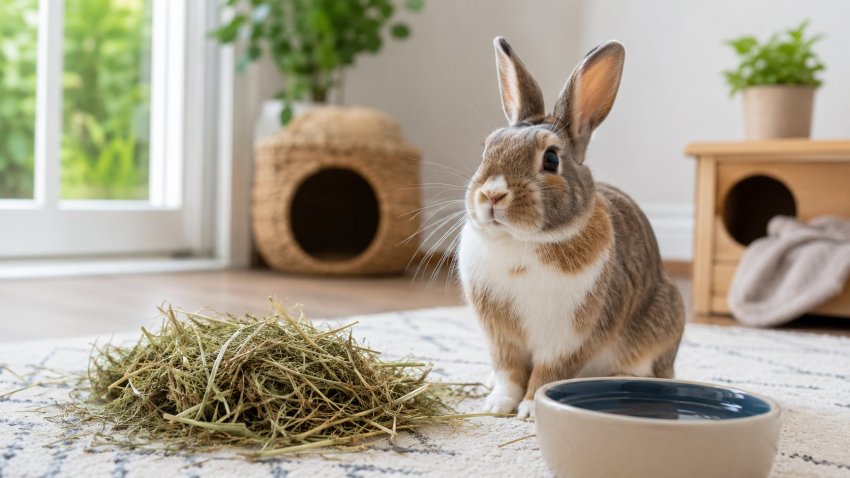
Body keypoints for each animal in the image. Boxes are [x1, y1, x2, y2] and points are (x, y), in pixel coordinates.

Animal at [457, 37, 685, 420]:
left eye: (551, 159)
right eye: (488, 148)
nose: (491, 195)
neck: (522, 241)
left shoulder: (568, 341)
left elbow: (547, 374)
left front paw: (530, 410)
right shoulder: (502, 340)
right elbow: (508, 373)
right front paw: (498, 405)